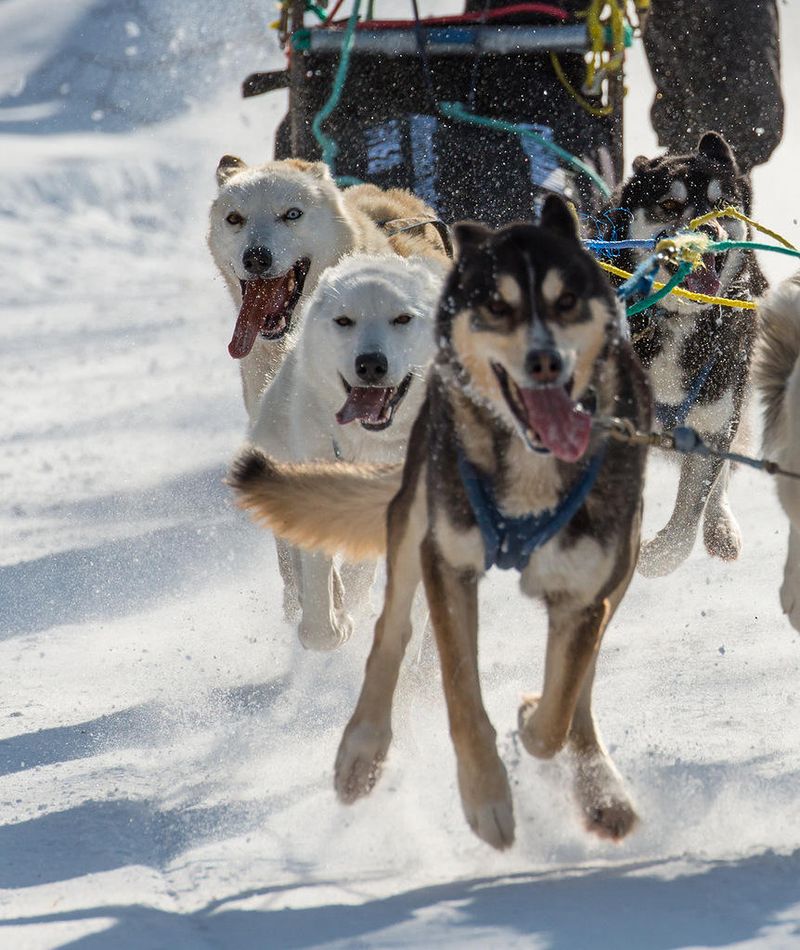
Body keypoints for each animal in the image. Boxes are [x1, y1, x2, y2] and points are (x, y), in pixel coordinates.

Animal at [608, 132, 764, 580]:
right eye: (670, 205)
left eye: (721, 204)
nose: (709, 230)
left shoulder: (712, 426)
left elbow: (689, 516)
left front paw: (656, 555)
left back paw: (721, 526)